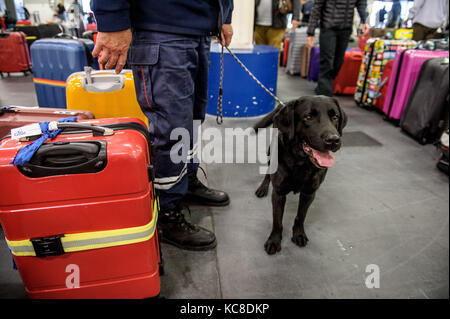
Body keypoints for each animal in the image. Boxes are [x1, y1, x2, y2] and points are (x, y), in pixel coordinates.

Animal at [255, 96, 346, 256]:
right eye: (308, 117)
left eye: (335, 117)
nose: (333, 140)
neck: (301, 163)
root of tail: (284, 104)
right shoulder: (278, 193)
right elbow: (277, 221)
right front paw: (274, 240)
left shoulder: (309, 194)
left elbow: (300, 217)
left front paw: (298, 234)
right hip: (270, 152)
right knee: (267, 173)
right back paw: (263, 187)